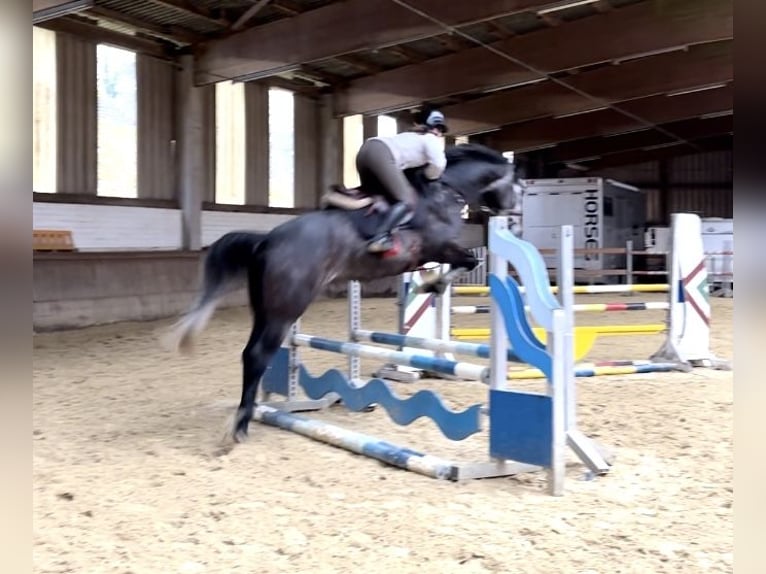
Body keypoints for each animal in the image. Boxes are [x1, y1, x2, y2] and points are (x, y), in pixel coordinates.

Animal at [164, 142, 522, 441]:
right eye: (519, 188)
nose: (514, 220)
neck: (444, 192)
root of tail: (265, 241)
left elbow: (462, 263)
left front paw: (430, 284)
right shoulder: (438, 247)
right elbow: (467, 260)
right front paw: (431, 284)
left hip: (265, 310)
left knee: (249, 353)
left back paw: (249, 416)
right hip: (286, 309)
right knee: (257, 355)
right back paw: (240, 426)